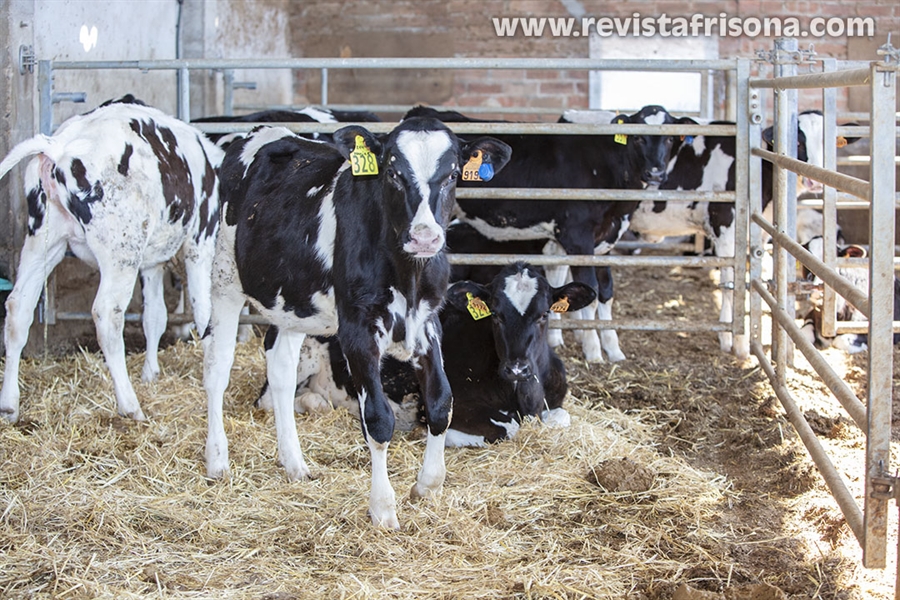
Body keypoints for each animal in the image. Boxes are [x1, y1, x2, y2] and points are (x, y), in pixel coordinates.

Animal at [0, 96, 223, 423]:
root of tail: (61, 145)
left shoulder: (152, 262)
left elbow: (155, 316)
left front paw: (151, 373)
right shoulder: (199, 243)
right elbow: (204, 311)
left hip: (44, 242)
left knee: (18, 308)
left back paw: (9, 404)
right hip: (121, 253)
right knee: (106, 315)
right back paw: (130, 405)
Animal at [202, 118, 512, 528]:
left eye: (451, 175)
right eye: (394, 173)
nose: (424, 237)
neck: (407, 275)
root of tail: (265, 130)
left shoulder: (429, 323)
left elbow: (442, 403)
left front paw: (428, 485)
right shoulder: (357, 330)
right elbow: (378, 420)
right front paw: (383, 508)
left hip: (293, 302)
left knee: (281, 369)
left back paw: (295, 463)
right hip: (224, 277)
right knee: (217, 368)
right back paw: (217, 461)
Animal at [627, 110, 854, 358]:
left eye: (830, 142)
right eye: (798, 142)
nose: (815, 181)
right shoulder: (725, 227)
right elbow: (730, 283)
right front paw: (735, 341)